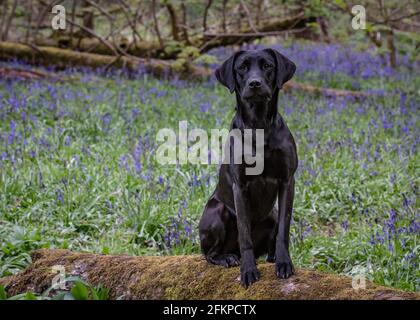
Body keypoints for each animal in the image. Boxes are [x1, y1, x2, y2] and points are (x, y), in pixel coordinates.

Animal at [199, 48, 296, 288]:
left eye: (268, 66)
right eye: (242, 67)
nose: (254, 83)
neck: (259, 126)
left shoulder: (287, 181)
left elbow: (284, 229)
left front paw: (283, 263)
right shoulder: (240, 186)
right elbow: (245, 234)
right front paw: (249, 270)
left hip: (271, 214)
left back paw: (270, 257)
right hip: (216, 211)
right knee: (209, 254)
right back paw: (227, 258)